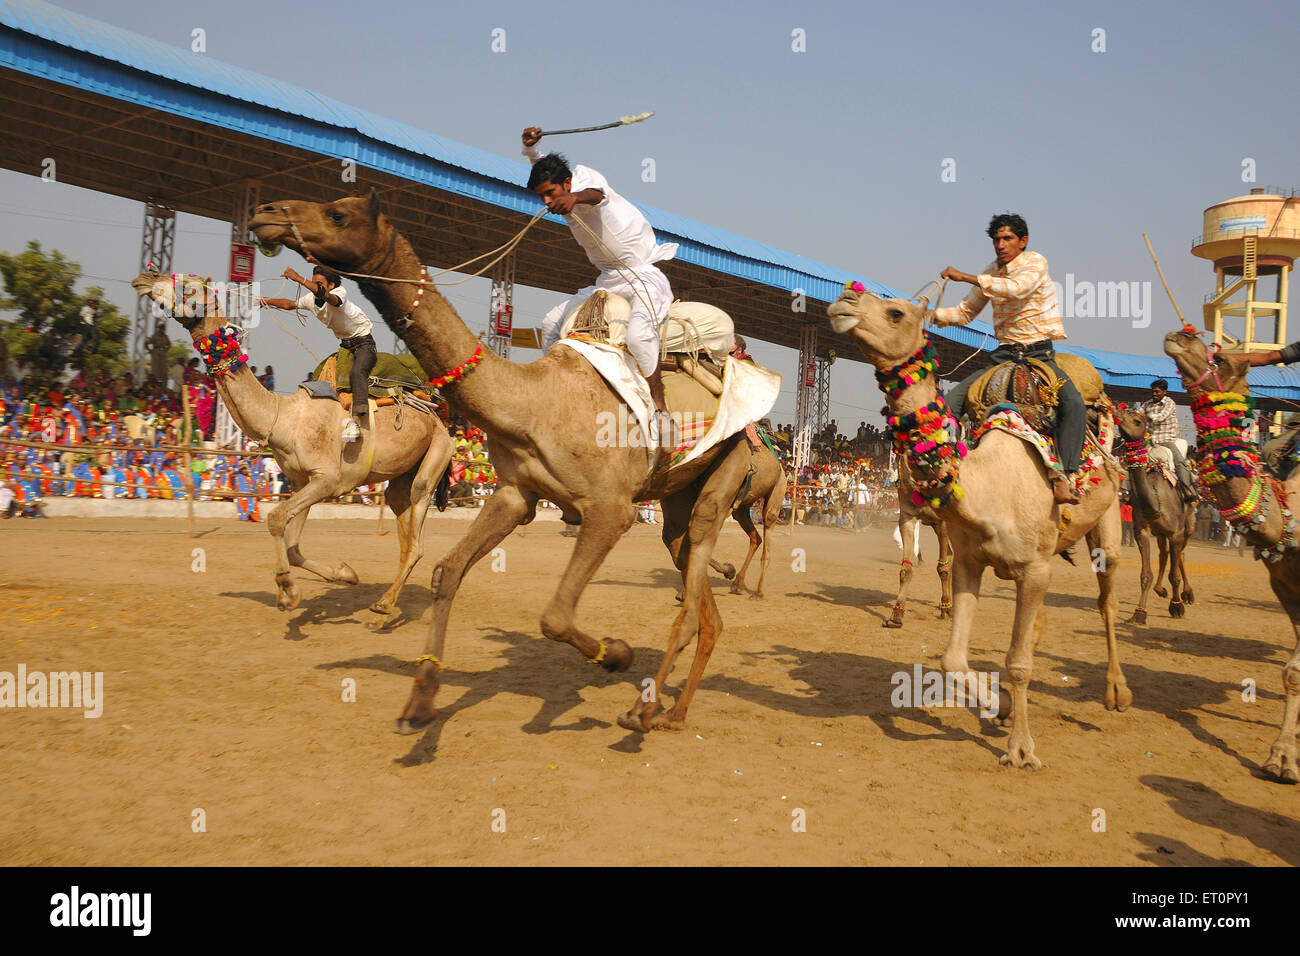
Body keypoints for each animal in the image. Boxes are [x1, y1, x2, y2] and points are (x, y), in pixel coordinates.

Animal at [127, 269, 452, 629]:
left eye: (190, 286)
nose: (146, 276)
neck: (282, 417)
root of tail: (439, 418)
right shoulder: (301, 480)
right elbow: (294, 545)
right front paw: (345, 574)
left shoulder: (327, 479)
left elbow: (275, 518)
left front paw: (286, 590)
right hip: (401, 477)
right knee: (404, 530)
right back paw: (383, 607)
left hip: (436, 456)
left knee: (416, 536)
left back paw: (382, 609)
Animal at [246, 192, 764, 733]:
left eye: (338, 214)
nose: (267, 212)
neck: (531, 403)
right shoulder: (517, 493)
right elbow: (447, 572)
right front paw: (419, 705)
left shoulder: (610, 507)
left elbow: (555, 615)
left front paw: (616, 654)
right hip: (679, 494)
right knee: (696, 587)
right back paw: (672, 711)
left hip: (727, 469)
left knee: (694, 580)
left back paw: (644, 709)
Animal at [826, 291, 1133, 770]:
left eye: (896, 312)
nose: (845, 299)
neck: (988, 483)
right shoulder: (974, 561)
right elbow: (953, 657)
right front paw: (1000, 705)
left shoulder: (1032, 567)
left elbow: (1019, 661)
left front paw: (1021, 749)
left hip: (1110, 517)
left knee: (1107, 600)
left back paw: (1117, 692)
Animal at [1118, 405, 1196, 624]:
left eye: (1137, 420)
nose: (1119, 411)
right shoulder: (1142, 531)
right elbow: (1145, 575)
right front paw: (1139, 613)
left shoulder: (1176, 532)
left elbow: (1174, 575)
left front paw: (1176, 606)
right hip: (1161, 533)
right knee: (1165, 553)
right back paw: (1161, 590)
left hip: (1188, 524)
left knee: (1181, 553)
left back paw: (1188, 594)